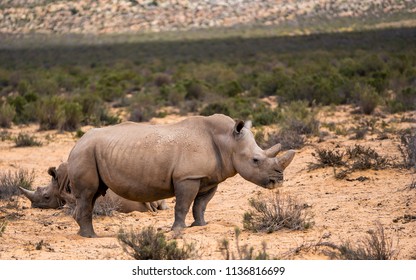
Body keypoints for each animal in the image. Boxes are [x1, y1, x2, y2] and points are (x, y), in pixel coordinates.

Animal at [66, 114, 296, 236]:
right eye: (255, 160)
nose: (278, 181)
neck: (228, 142)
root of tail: (77, 142)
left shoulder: (208, 179)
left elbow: (200, 205)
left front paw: (201, 225)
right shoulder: (187, 177)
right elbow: (183, 205)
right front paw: (177, 230)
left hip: (91, 151)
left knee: (93, 194)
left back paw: (82, 233)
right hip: (85, 152)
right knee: (87, 194)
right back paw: (91, 236)